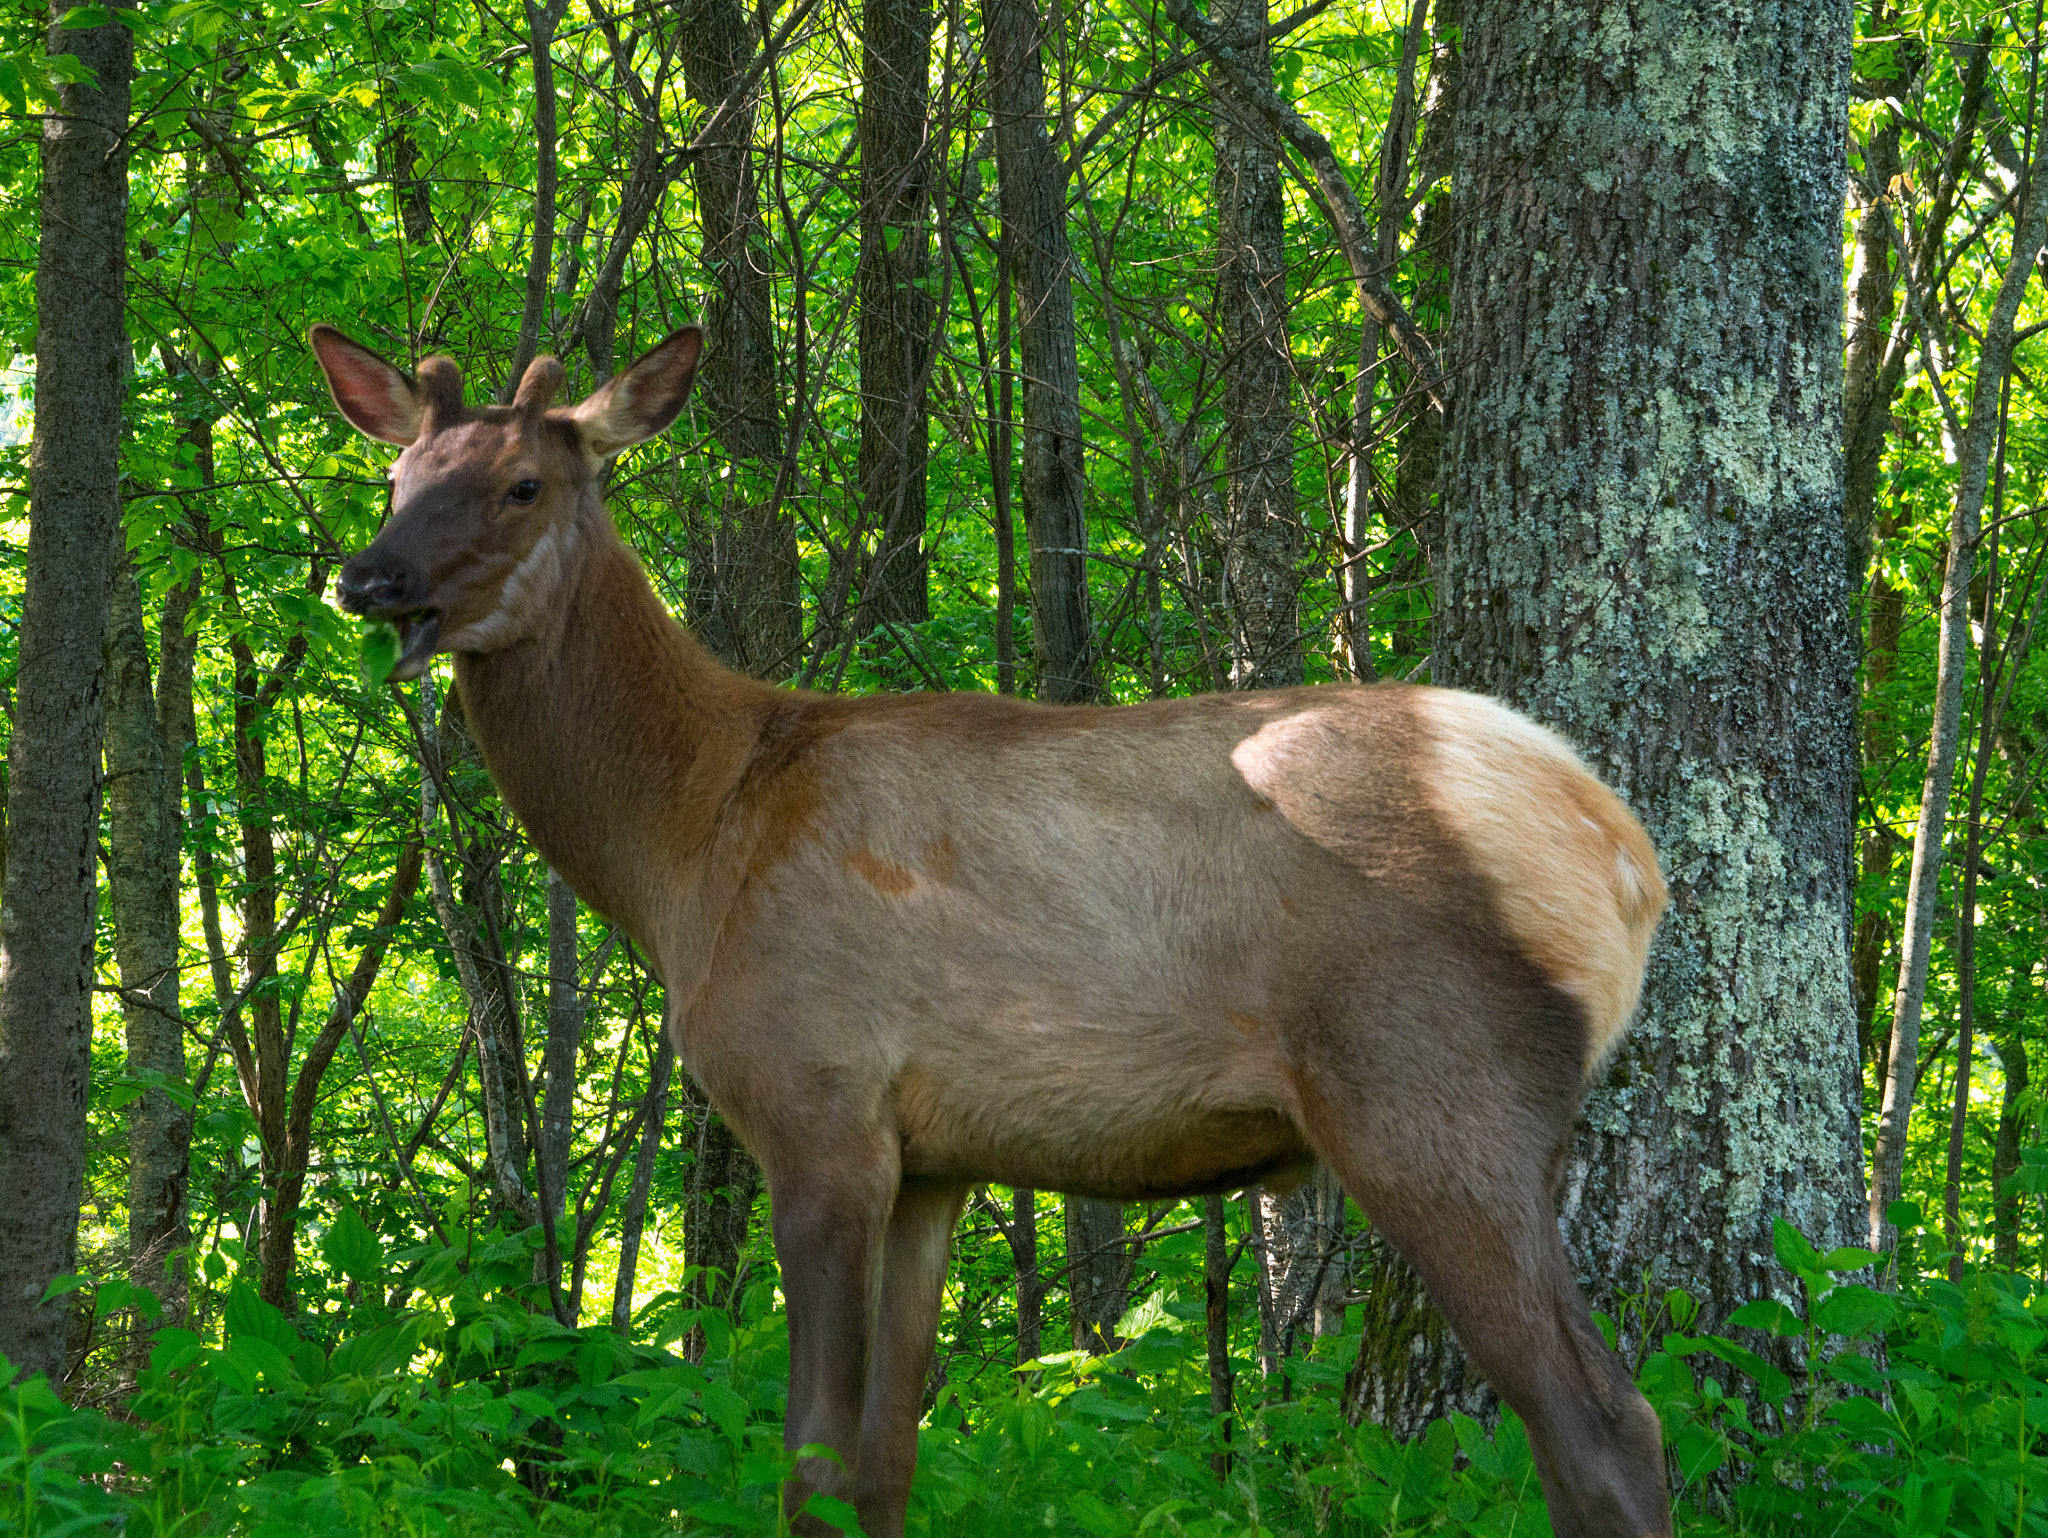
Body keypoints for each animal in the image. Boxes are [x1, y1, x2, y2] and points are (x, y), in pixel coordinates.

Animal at [312, 320, 1674, 1538]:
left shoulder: (817, 1104)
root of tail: (1622, 853)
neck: (688, 840)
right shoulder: (932, 1163)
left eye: (523, 482)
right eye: (397, 477)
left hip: (1429, 1095)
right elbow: (881, 1471)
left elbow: (810, 1472)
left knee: (1605, 1427)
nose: (366, 577)